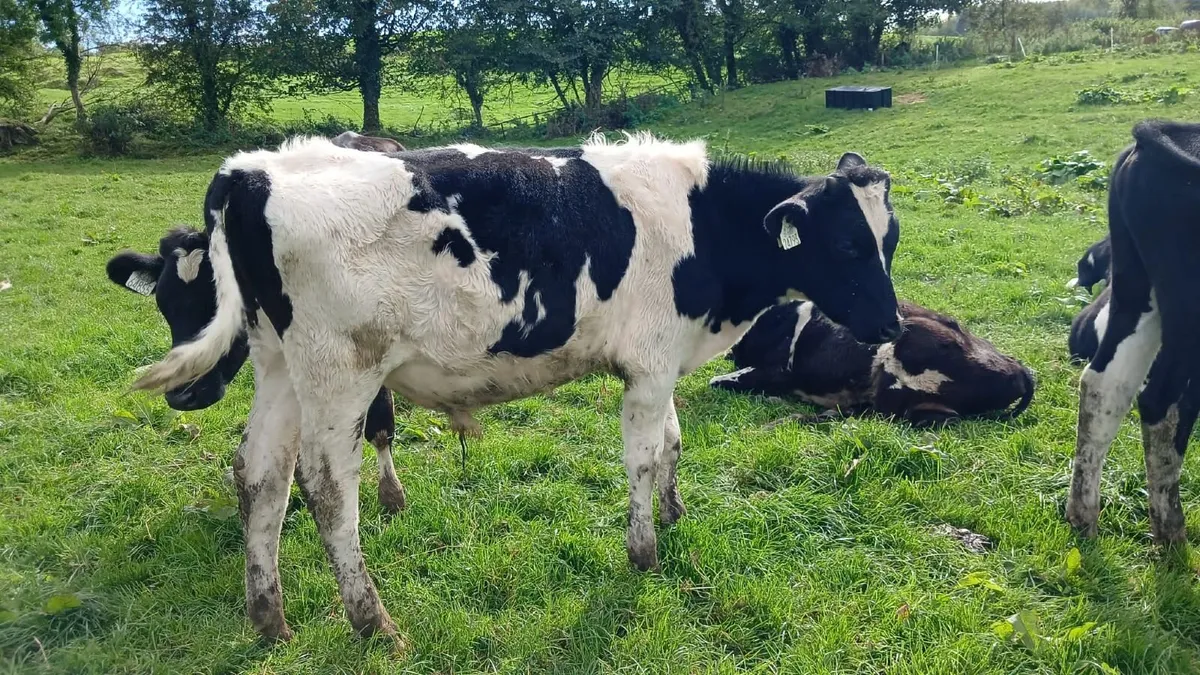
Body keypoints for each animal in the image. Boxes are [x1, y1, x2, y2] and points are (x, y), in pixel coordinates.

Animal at [125, 134, 902, 643]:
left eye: (888, 240)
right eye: (847, 244)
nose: (893, 323)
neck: (699, 223)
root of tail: (252, 169)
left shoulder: (663, 358)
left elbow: (675, 443)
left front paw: (675, 515)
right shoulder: (650, 362)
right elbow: (646, 456)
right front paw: (645, 552)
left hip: (281, 366)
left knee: (260, 476)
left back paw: (268, 618)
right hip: (339, 373)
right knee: (325, 488)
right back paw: (373, 622)